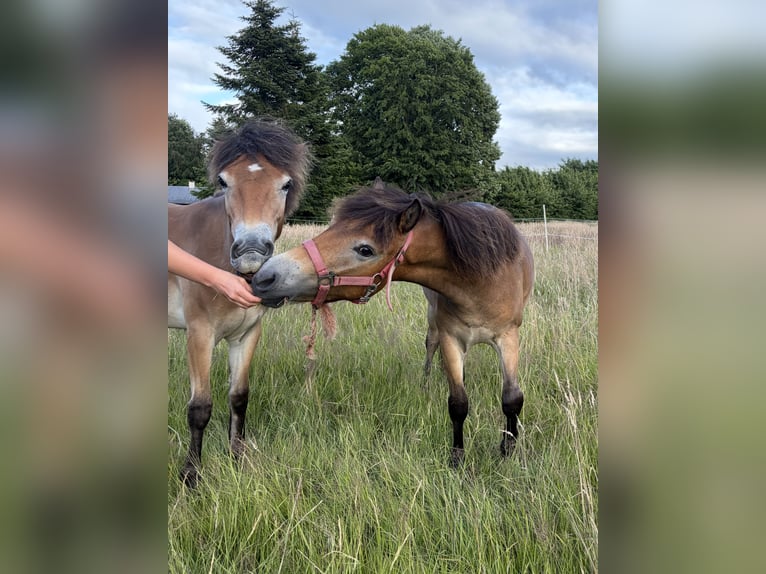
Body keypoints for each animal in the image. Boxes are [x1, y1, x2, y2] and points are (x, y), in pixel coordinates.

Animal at [168, 119, 310, 487]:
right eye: (224, 181)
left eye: (285, 184)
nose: (251, 252)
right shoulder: (199, 335)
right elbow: (200, 408)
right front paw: (191, 475)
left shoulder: (246, 335)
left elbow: (239, 396)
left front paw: (237, 458)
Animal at [251, 180, 534, 466]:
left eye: (365, 250)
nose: (265, 276)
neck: (477, 280)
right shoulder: (450, 338)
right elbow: (458, 403)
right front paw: (457, 458)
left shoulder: (508, 337)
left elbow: (512, 399)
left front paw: (508, 449)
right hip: (434, 322)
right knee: (431, 347)